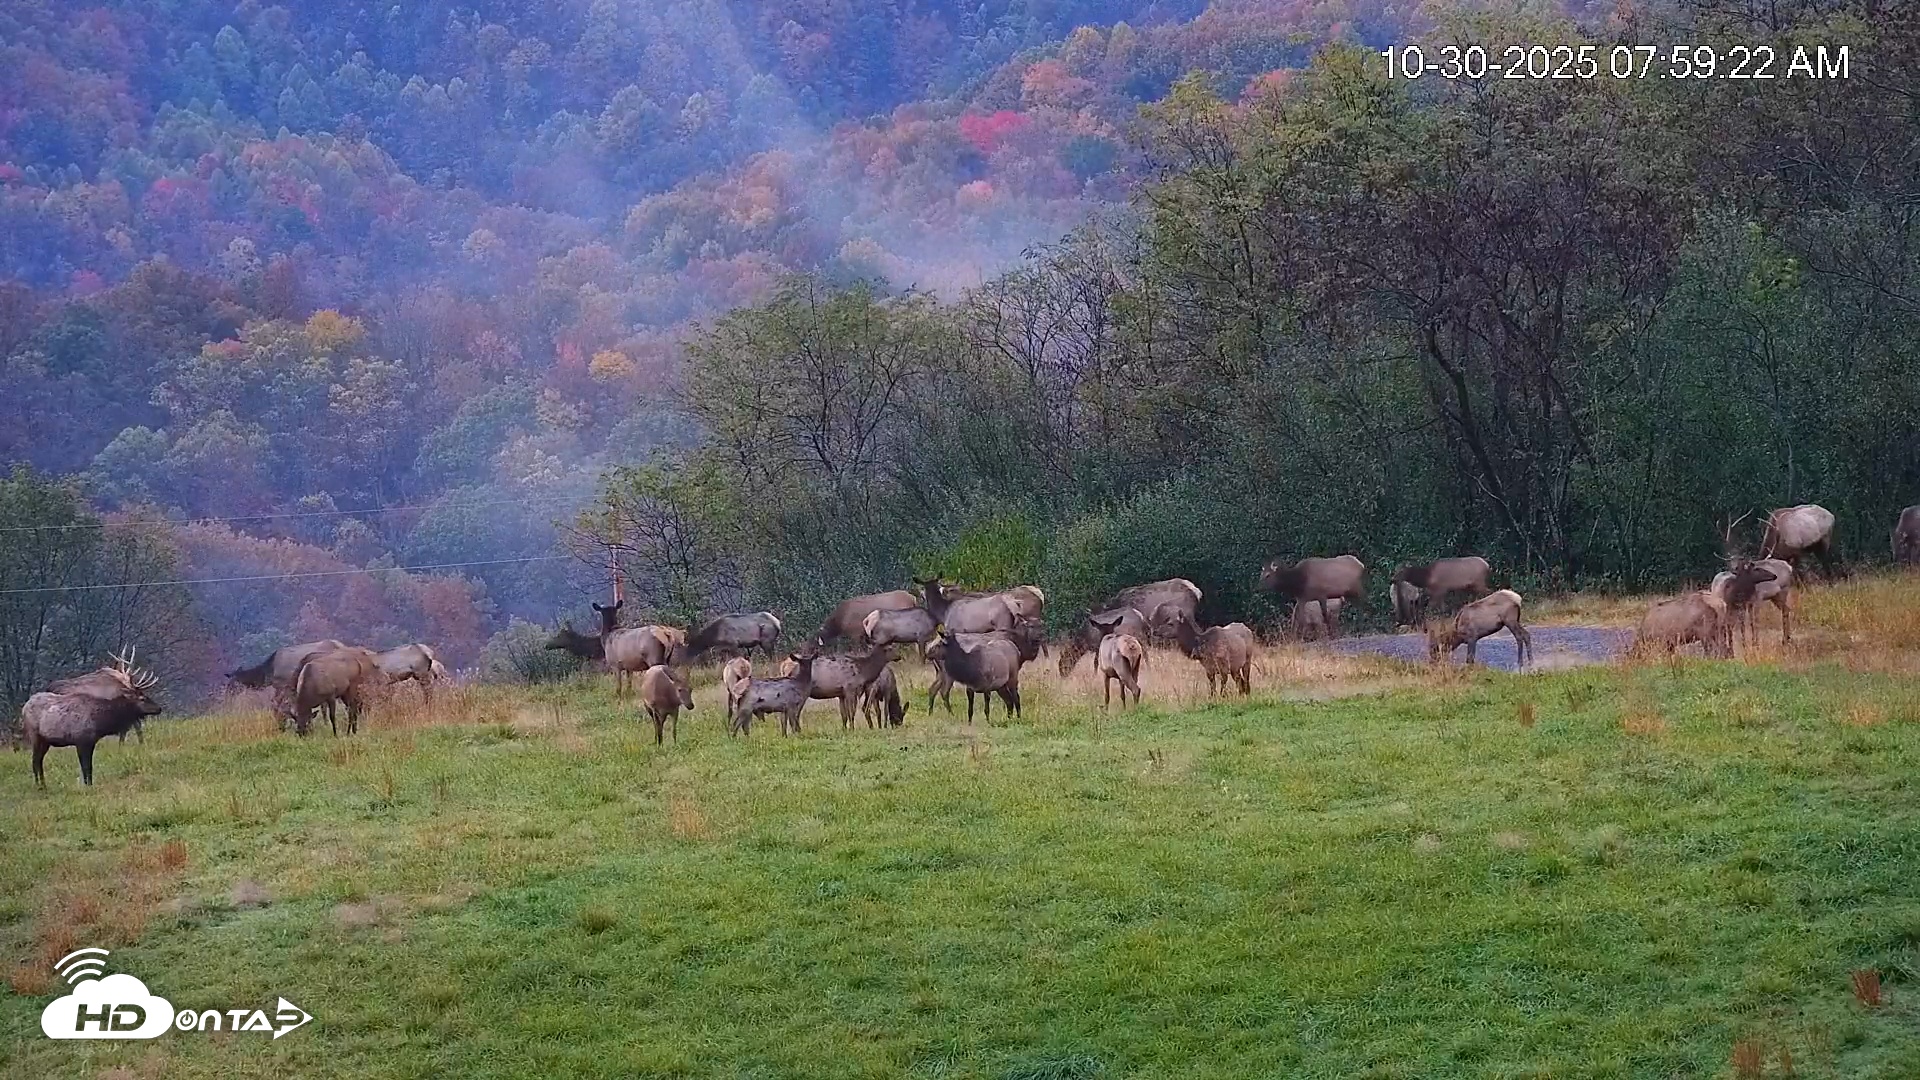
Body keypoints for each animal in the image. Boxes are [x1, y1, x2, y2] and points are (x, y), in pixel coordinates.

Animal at [25, 649, 163, 788]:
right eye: (142, 698)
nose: (159, 708)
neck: (100, 722)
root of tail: (25, 706)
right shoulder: (81, 740)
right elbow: (86, 767)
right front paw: (88, 786)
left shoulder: (90, 741)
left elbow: (89, 767)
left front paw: (89, 784)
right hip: (35, 736)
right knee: (35, 761)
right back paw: (39, 786)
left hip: (45, 741)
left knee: (39, 760)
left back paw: (43, 784)